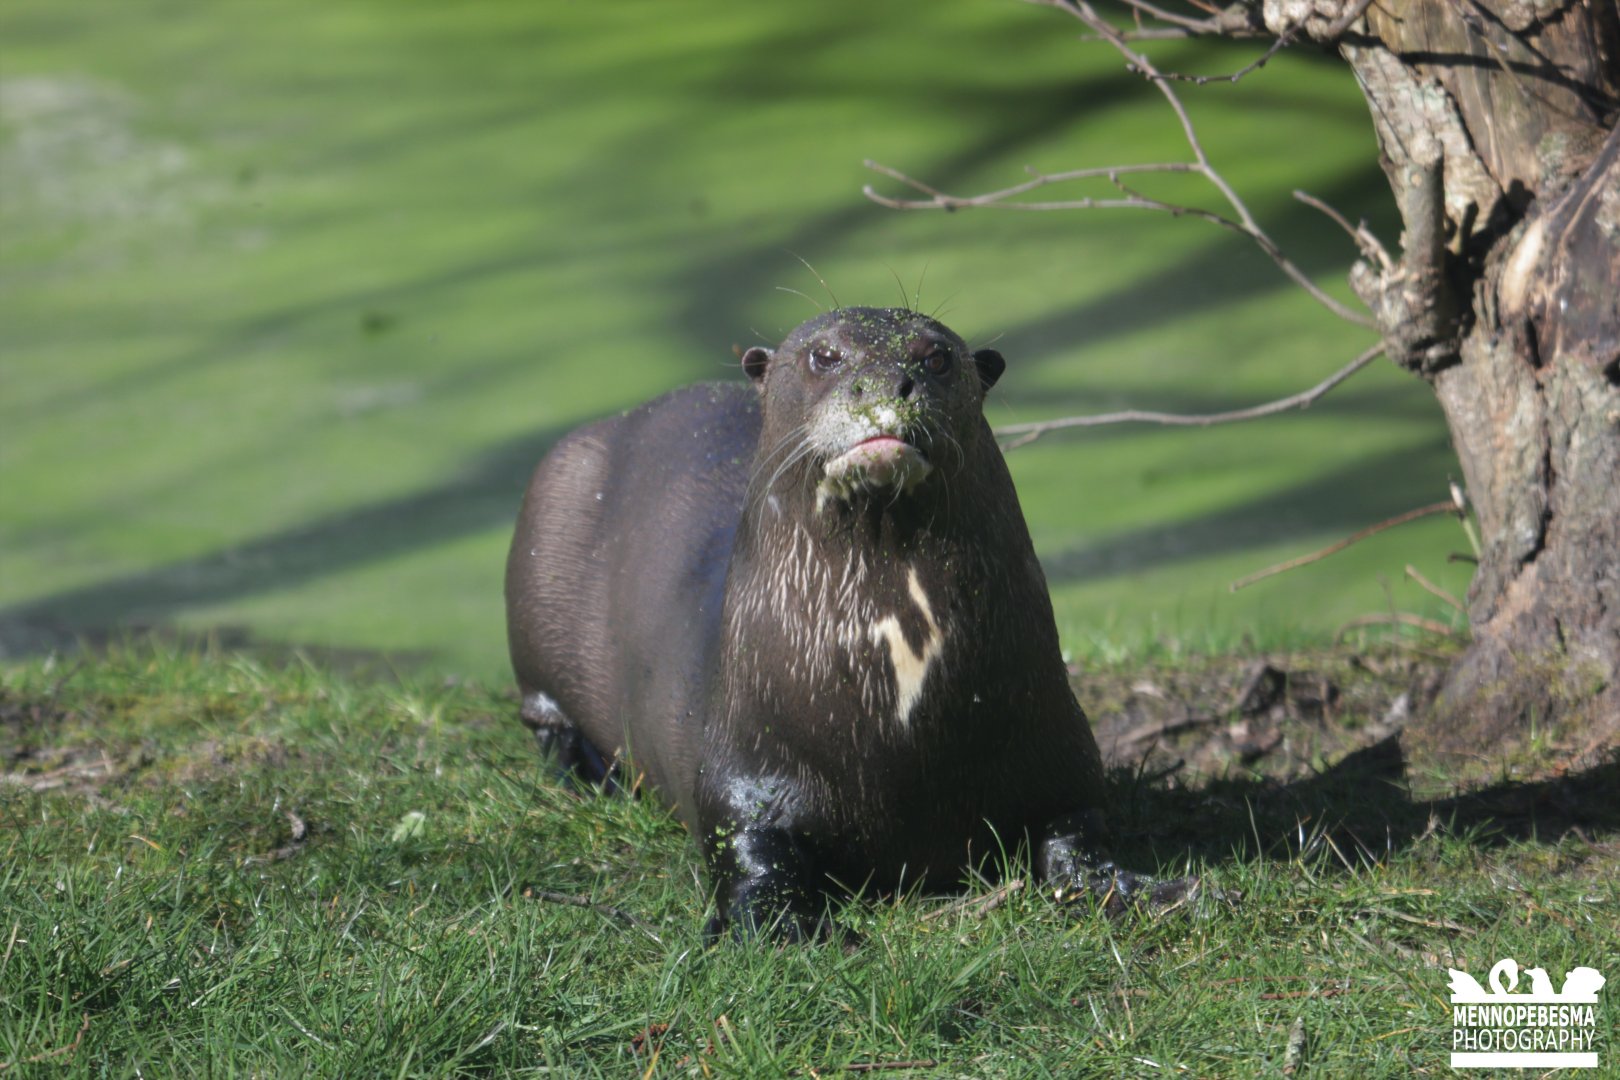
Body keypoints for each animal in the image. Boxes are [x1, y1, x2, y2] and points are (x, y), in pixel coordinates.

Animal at [506, 307, 1165, 941]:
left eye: (936, 357)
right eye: (824, 354)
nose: (883, 385)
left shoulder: (1056, 746)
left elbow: (1078, 827)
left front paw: (1135, 889)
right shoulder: (742, 760)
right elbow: (745, 848)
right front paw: (779, 923)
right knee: (542, 716)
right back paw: (590, 773)